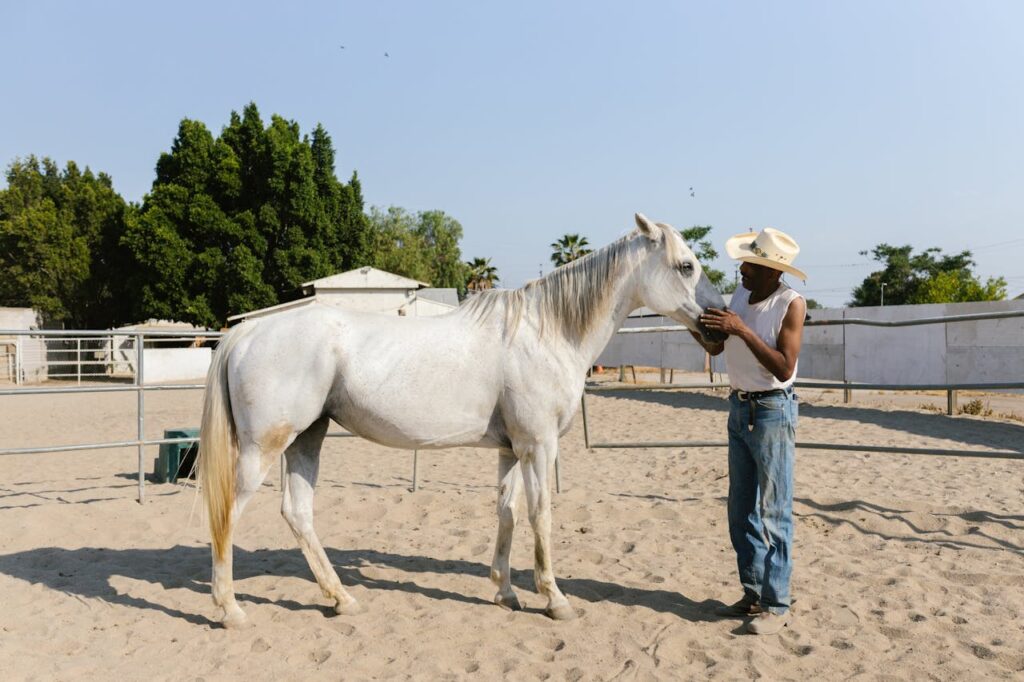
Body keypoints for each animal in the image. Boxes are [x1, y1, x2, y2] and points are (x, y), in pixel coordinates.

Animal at [199, 212, 727, 628]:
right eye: (686, 266)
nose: (719, 323)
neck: (547, 331)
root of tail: (245, 333)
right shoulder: (538, 447)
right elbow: (541, 515)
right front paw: (554, 600)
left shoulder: (511, 450)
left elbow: (507, 513)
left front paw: (506, 593)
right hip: (264, 448)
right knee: (227, 513)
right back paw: (230, 610)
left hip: (307, 439)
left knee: (298, 513)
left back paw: (342, 599)